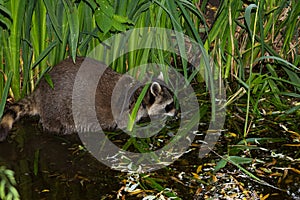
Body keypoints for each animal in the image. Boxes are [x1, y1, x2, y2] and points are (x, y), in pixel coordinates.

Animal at [0, 56, 176, 141]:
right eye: (169, 105)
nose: (176, 114)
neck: (141, 94)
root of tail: (39, 90)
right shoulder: (127, 114)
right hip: (57, 108)